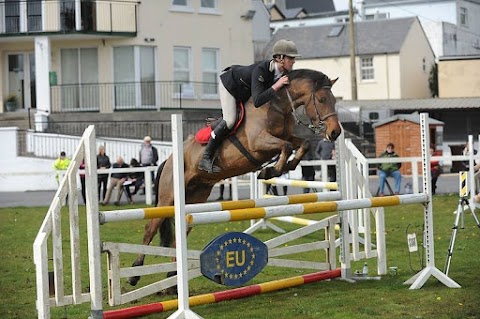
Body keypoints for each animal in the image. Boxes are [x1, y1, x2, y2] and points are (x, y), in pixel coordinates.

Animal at [127, 69, 342, 286]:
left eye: (334, 101)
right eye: (322, 100)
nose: (335, 132)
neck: (277, 105)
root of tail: (168, 160)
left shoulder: (287, 137)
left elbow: (302, 143)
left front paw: (282, 167)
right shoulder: (258, 143)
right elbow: (286, 146)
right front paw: (270, 171)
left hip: (195, 197)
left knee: (180, 233)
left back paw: (172, 277)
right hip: (168, 197)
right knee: (150, 227)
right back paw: (135, 273)